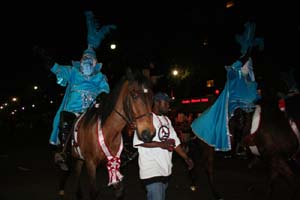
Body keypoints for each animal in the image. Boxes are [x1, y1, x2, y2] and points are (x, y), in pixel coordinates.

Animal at [62, 68, 157, 199]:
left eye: (152, 97)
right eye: (134, 95)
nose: (149, 133)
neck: (108, 132)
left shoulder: (113, 161)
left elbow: (119, 190)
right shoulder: (90, 163)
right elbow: (93, 192)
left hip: (79, 158)